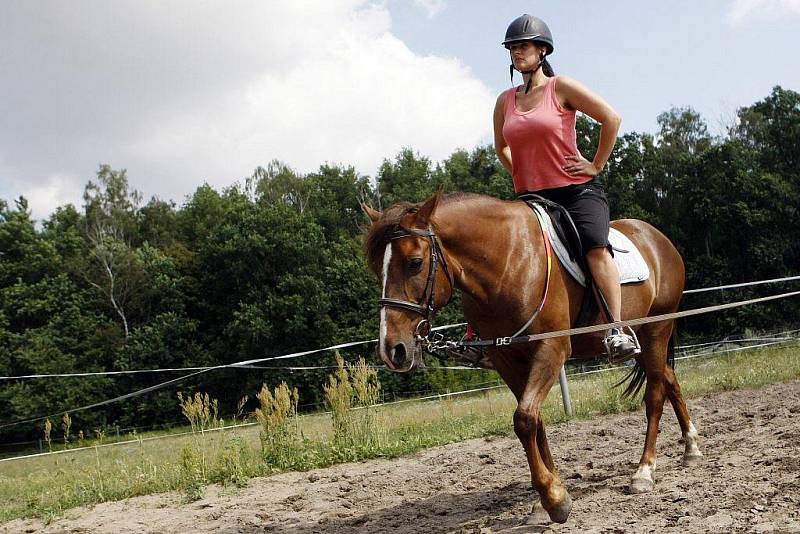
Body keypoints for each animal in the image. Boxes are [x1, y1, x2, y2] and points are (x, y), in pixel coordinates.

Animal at [366, 192, 704, 524]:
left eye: (414, 263)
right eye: (376, 269)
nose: (392, 349)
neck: (507, 263)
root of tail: (656, 237)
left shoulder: (550, 350)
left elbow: (525, 419)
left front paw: (554, 500)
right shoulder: (506, 359)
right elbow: (535, 421)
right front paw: (550, 496)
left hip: (656, 329)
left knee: (655, 395)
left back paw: (644, 472)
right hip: (644, 341)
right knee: (669, 379)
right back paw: (691, 448)